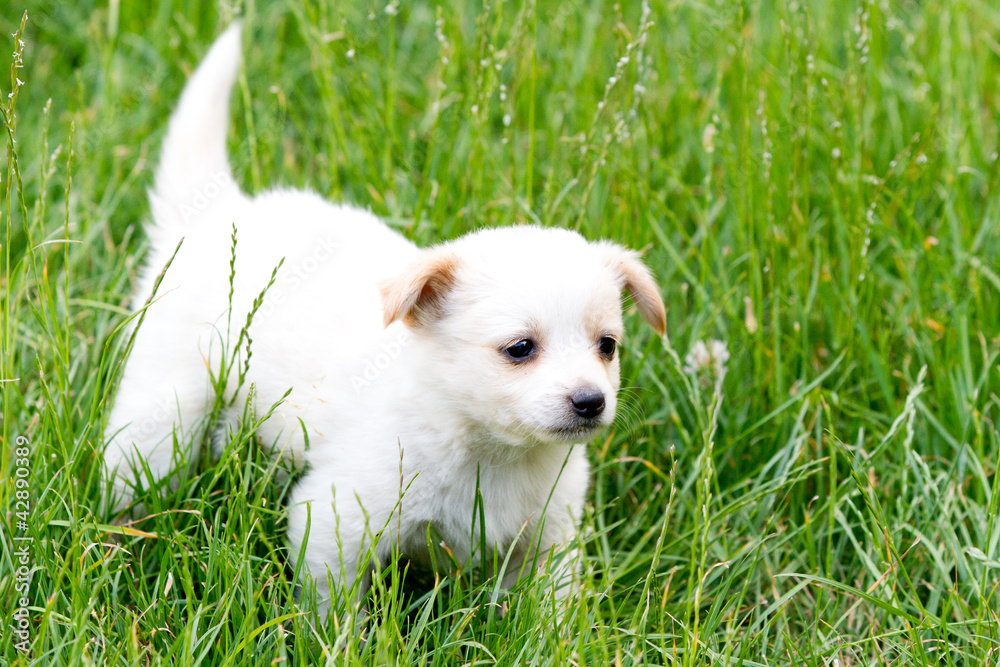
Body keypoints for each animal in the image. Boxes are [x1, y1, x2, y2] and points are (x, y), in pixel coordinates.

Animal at [103, 23, 664, 620]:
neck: (489, 448)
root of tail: (218, 212)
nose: (591, 402)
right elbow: (333, 609)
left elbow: (551, 610)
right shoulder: (336, 519)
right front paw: (337, 637)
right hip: (164, 406)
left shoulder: (549, 537)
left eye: (607, 345)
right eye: (519, 348)